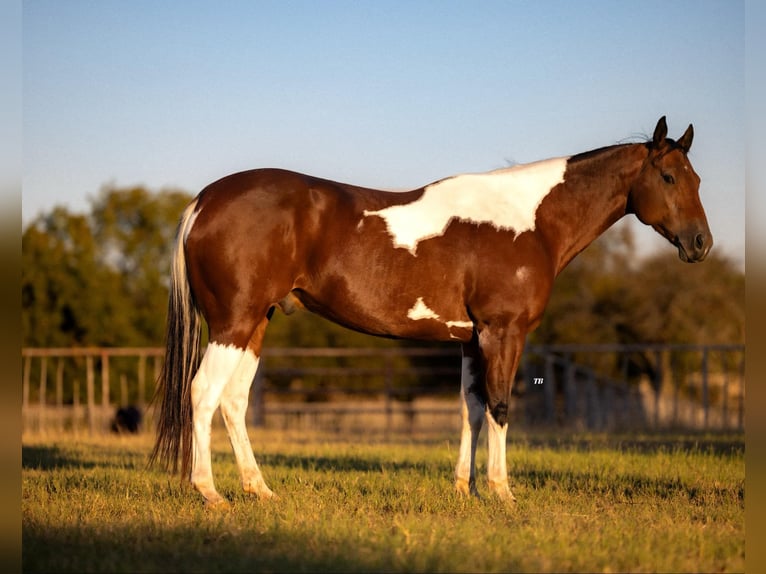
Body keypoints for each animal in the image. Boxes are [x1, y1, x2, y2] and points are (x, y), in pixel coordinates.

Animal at [149, 116, 712, 507]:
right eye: (667, 177)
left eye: (697, 180)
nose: (701, 244)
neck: (529, 222)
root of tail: (204, 201)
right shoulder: (503, 332)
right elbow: (501, 406)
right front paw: (503, 492)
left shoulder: (471, 339)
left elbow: (472, 408)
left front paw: (465, 489)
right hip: (233, 322)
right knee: (203, 393)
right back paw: (210, 492)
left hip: (254, 324)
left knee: (233, 400)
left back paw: (259, 489)